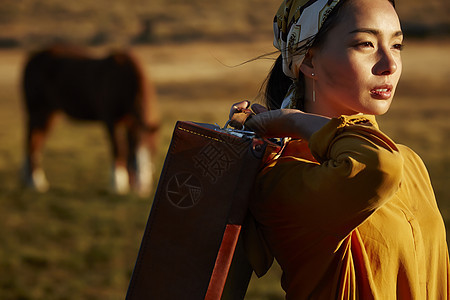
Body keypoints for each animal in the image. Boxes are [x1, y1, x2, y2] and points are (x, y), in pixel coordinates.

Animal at [21, 44, 159, 195]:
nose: (143, 188)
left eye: (153, 151)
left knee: (37, 143)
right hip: (37, 112)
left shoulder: (131, 123)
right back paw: (34, 182)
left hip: (49, 115)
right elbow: (118, 149)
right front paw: (118, 184)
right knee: (31, 142)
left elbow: (126, 148)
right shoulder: (111, 121)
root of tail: (32, 60)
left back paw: (32, 180)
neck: (124, 80)